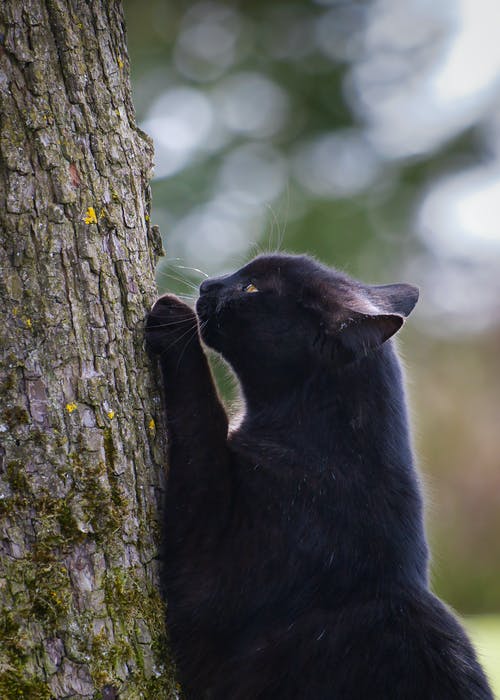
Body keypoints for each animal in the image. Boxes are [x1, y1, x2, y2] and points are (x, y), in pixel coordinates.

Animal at [146, 254, 492, 700]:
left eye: (251, 288)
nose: (209, 286)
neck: (330, 450)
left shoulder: (205, 572)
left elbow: (203, 418)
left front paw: (172, 317)